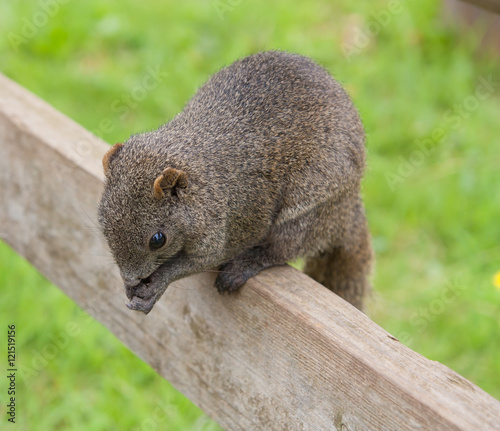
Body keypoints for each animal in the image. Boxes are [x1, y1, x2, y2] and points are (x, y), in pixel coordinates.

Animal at [98, 50, 372, 316]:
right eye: (103, 223)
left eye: (158, 239)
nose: (130, 279)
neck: (202, 185)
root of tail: (349, 207)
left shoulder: (230, 223)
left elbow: (203, 260)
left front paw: (157, 284)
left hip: (306, 211)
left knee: (283, 249)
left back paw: (243, 266)